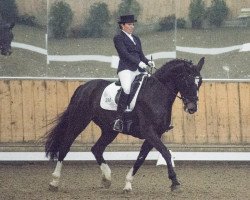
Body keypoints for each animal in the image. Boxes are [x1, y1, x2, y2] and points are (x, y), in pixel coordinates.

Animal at [45, 56, 205, 192]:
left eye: (200, 82)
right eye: (187, 81)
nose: (192, 108)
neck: (157, 93)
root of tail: (84, 87)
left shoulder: (154, 135)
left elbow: (141, 158)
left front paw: (128, 184)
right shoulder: (149, 132)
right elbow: (166, 153)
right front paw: (175, 182)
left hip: (110, 130)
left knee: (97, 149)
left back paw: (107, 178)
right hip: (79, 121)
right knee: (65, 146)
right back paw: (54, 182)